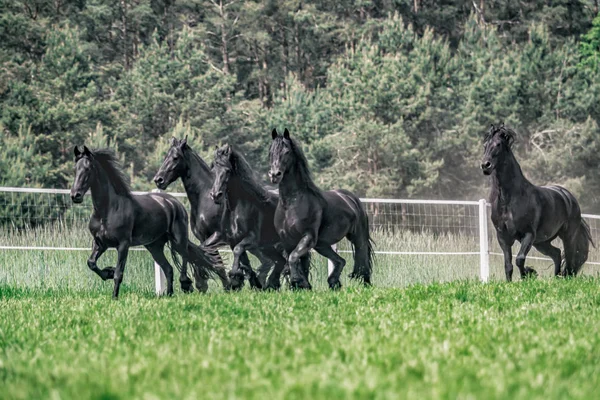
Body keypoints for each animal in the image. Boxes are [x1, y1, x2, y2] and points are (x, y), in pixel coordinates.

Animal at [70, 146, 229, 296]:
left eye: (88, 169)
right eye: (75, 169)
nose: (75, 195)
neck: (108, 210)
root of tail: (174, 203)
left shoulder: (123, 245)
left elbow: (118, 274)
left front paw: (114, 295)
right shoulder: (100, 243)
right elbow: (91, 263)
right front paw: (107, 272)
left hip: (178, 240)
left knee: (185, 255)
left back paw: (186, 284)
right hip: (154, 246)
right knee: (169, 268)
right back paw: (169, 294)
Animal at [155, 136, 276, 290]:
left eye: (175, 157)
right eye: (166, 156)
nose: (158, 180)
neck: (205, 197)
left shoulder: (218, 235)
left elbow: (205, 253)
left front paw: (202, 282)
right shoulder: (203, 236)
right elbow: (196, 252)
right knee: (266, 261)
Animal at [210, 145, 288, 290]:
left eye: (227, 170)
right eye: (213, 170)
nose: (215, 195)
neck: (236, 211)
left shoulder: (252, 239)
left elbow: (238, 250)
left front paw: (235, 276)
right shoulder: (233, 240)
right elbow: (243, 259)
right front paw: (243, 280)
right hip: (268, 247)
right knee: (281, 261)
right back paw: (271, 284)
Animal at [268, 130, 372, 290]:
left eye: (286, 152)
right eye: (270, 152)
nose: (275, 175)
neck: (291, 204)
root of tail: (351, 198)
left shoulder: (308, 237)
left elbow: (293, 258)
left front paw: (298, 281)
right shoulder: (288, 240)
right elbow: (297, 261)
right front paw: (301, 285)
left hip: (357, 237)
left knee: (362, 261)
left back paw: (366, 285)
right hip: (322, 245)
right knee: (340, 261)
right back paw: (333, 282)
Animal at [480, 123, 592, 280]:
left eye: (498, 144)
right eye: (485, 145)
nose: (486, 165)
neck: (510, 199)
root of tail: (569, 198)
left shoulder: (528, 235)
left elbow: (520, 259)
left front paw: (529, 274)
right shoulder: (503, 236)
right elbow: (508, 265)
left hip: (568, 237)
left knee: (569, 262)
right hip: (542, 242)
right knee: (557, 254)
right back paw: (556, 278)